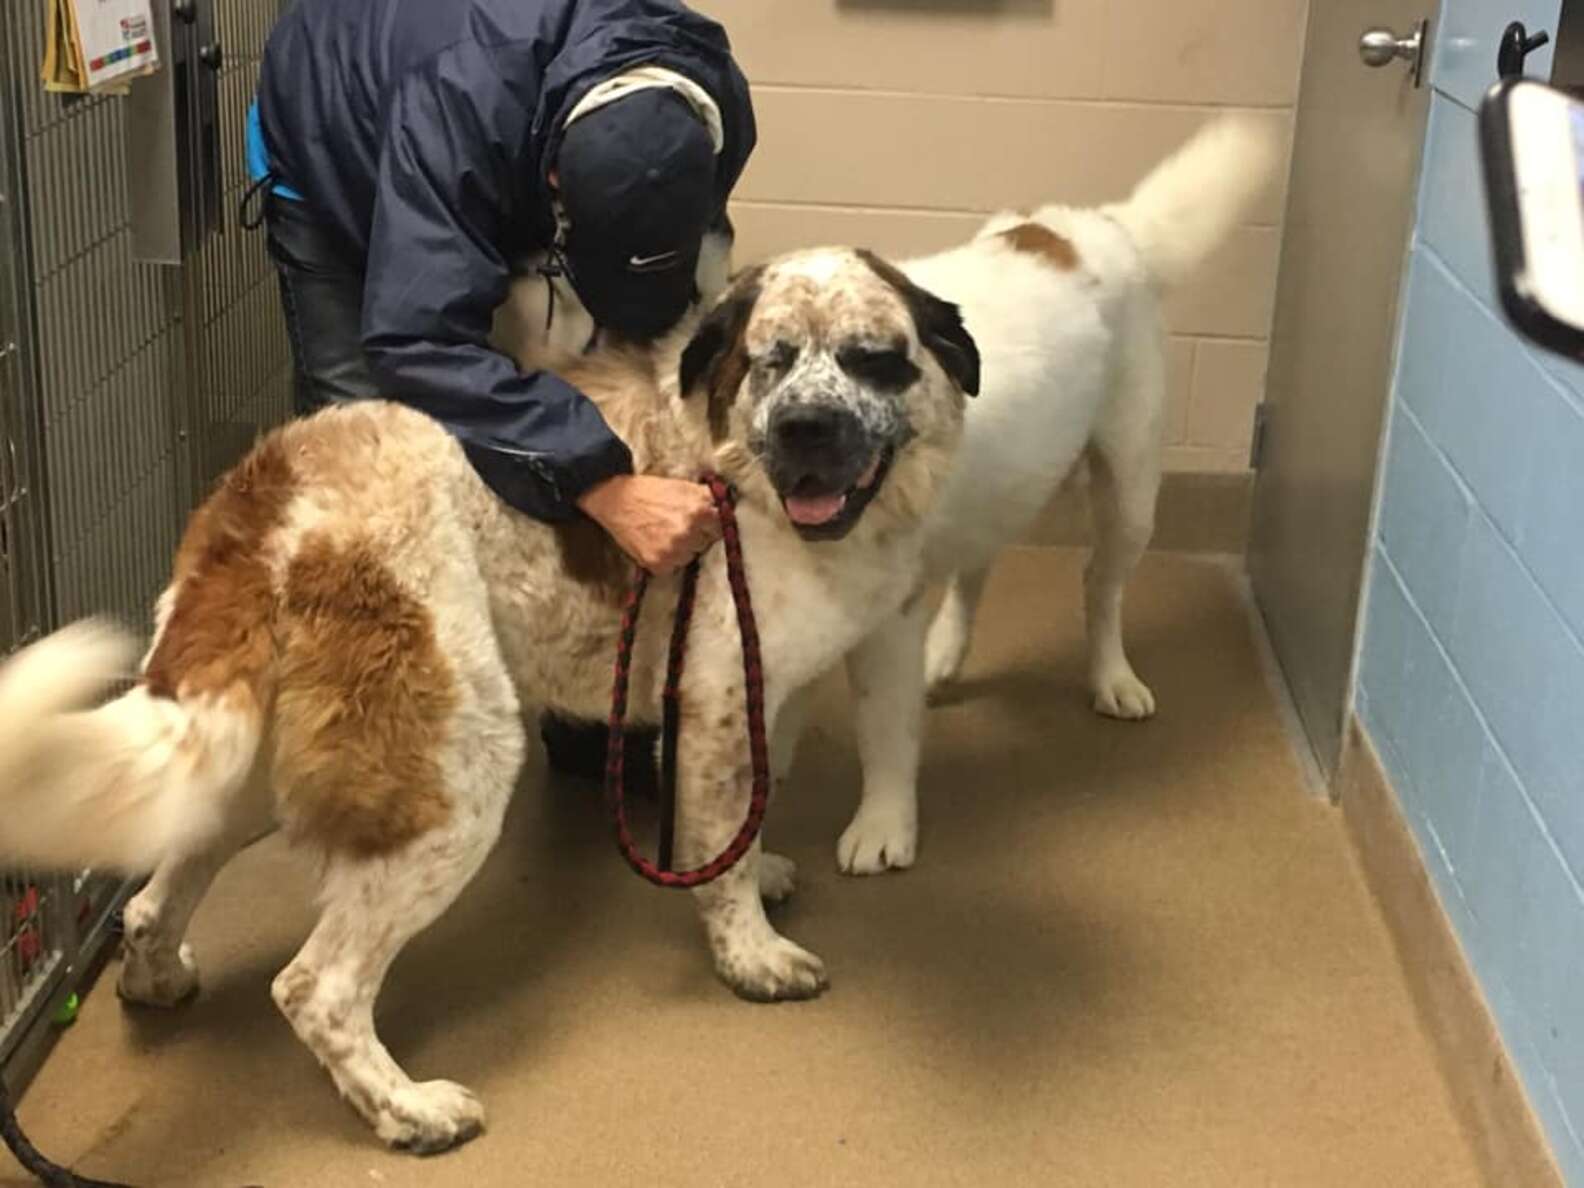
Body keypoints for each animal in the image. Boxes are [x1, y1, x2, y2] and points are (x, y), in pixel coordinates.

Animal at [0, 248, 975, 1153]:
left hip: (252, 764)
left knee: (154, 894)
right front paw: (751, 955)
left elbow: (733, 829)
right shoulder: (721, 704)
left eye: (871, 359)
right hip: (455, 769)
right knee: (316, 988)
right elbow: (725, 851)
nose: (808, 428)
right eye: (772, 362)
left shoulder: (749, 705)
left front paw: (753, 868)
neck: (729, 466)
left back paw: (154, 975)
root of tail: (263, 493)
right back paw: (409, 1111)